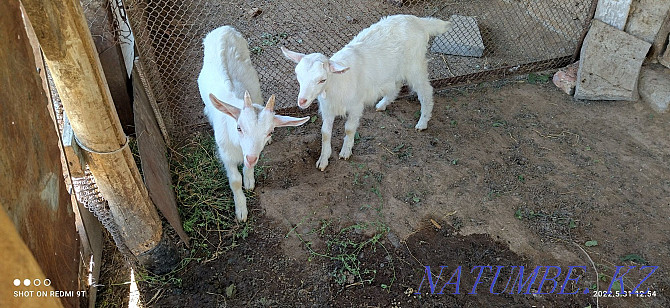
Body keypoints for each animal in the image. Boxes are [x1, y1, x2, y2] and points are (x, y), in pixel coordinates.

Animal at [196, 25, 308, 220]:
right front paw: (241, 210)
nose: (250, 158)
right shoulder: (226, 154)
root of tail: (225, 28)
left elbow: (249, 169)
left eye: (270, 131)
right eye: (239, 128)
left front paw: (249, 181)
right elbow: (234, 181)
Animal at [282, 15, 452, 171]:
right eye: (297, 75)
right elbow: (325, 133)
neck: (337, 83)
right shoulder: (328, 109)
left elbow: (349, 128)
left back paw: (422, 122)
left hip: (415, 65)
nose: (302, 101)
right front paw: (323, 160)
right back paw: (383, 104)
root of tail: (418, 21)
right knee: (396, 85)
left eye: (322, 80)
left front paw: (345, 152)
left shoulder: (356, 105)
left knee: (425, 91)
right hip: (393, 70)